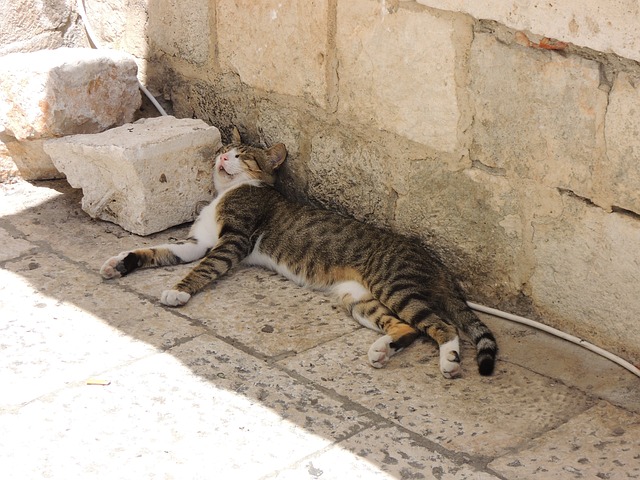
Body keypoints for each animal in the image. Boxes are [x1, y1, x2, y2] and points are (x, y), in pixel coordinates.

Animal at [101, 128, 500, 378]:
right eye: (225, 150)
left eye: (243, 157)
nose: (224, 157)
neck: (227, 193)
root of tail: (436, 261)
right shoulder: (196, 243)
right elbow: (159, 249)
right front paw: (121, 262)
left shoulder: (234, 241)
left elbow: (203, 268)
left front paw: (178, 291)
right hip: (357, 299)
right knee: (408, 327)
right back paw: (383, 349)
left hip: (394, 285)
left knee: (442, 325)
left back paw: (449, 360)